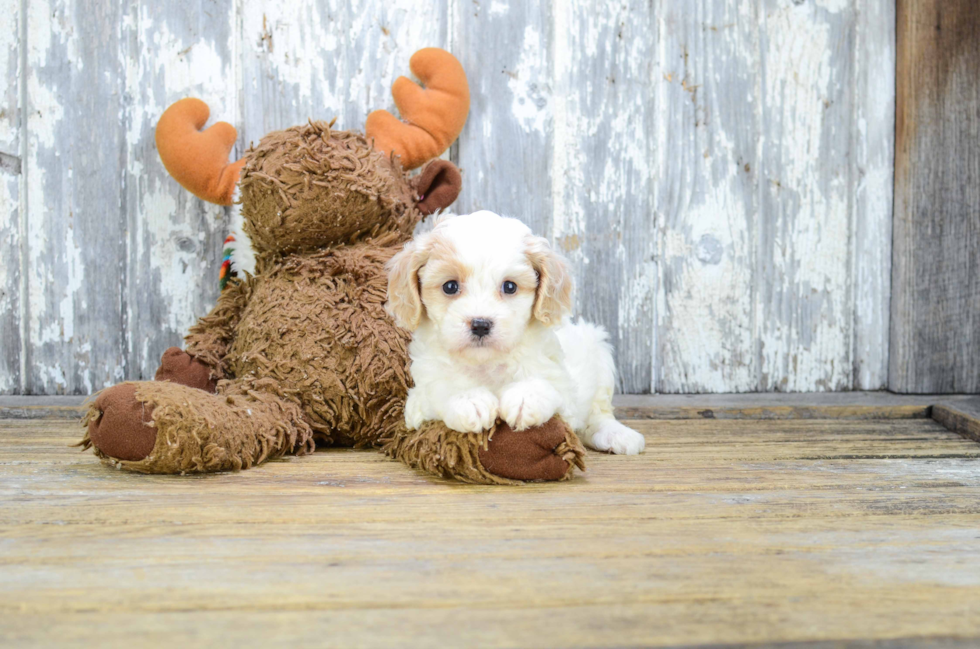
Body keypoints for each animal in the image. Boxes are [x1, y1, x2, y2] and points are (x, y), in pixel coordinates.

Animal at [386, 210, 648, 454]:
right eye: (450, 286)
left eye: (509, 286)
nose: (480, 324)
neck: (486, 364)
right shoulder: (417, 402)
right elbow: (439, 389)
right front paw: (468, 399)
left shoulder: (564, 392)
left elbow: (550, 388)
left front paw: (525, 397)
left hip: (598, 351)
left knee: (598, 413)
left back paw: (616, 434)